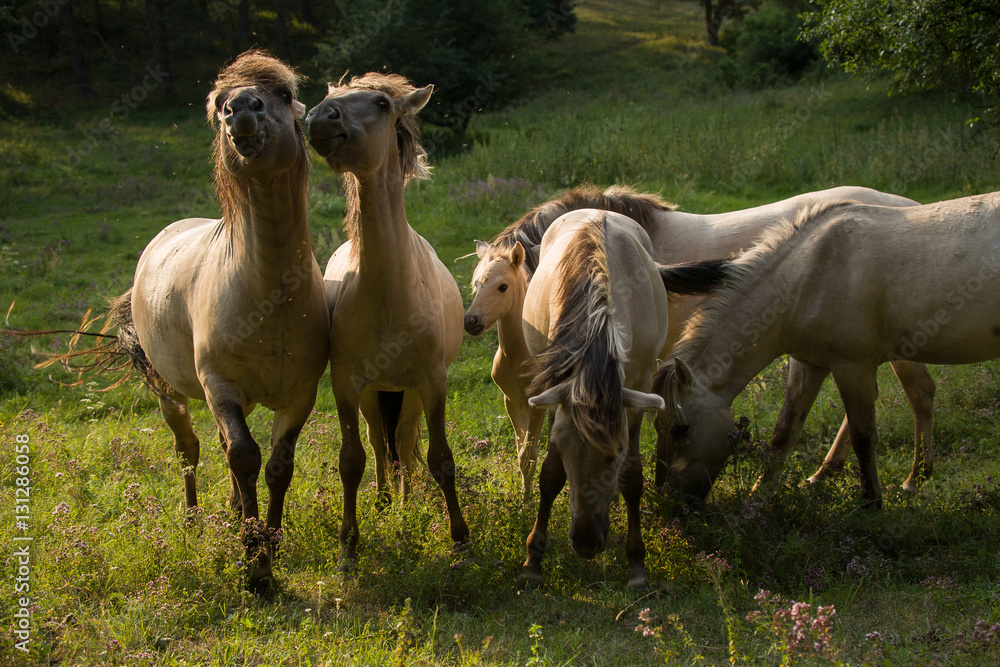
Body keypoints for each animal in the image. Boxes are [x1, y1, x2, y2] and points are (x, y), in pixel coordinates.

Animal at [120, 52, 326, 592]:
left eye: (283, 95)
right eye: (218, 105)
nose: (242, 109)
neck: (269, 296)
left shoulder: (300, 393)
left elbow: (276, 466)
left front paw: (269, 544)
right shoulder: (221, 386)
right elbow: (244, 457)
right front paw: (255, 566)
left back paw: (233, 511)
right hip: (172, 392)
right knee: (189, 448)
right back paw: (193, 521)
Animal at [306, 73, 470, 564]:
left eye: (381, 103)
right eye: (331, 97)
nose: (319, 118)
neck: (387, 296)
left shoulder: (433, 383)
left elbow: (440, 458)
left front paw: (460, 538)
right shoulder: (346, 384)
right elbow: (352, 460)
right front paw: (349, 542)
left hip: (409, 392)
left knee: (404, 437)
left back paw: (403, 500)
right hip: (375, 392)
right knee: (381, 441)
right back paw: (382, 500)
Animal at [462, 184, 936, 500]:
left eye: (502, 286)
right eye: (474, 283)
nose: (471, 324)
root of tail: (912, 206)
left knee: (919, 395)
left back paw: (916, 479)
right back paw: (826, 473)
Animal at [516, 207, 728, 588]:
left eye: (615, 454)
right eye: (566, 452)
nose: (585, 543)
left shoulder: (638, 390)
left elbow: (633, 476)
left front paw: (637, 565)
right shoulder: (556, 389)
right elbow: (550, 473)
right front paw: (533, 561)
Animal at [652, 193, 1000, 512]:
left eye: (681, 428)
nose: (670, 504)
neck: (812, 273)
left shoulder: (852, 367)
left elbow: (863, 436)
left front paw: (871, 503)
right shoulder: (809, 364)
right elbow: (784, 433)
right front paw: (757, 499)